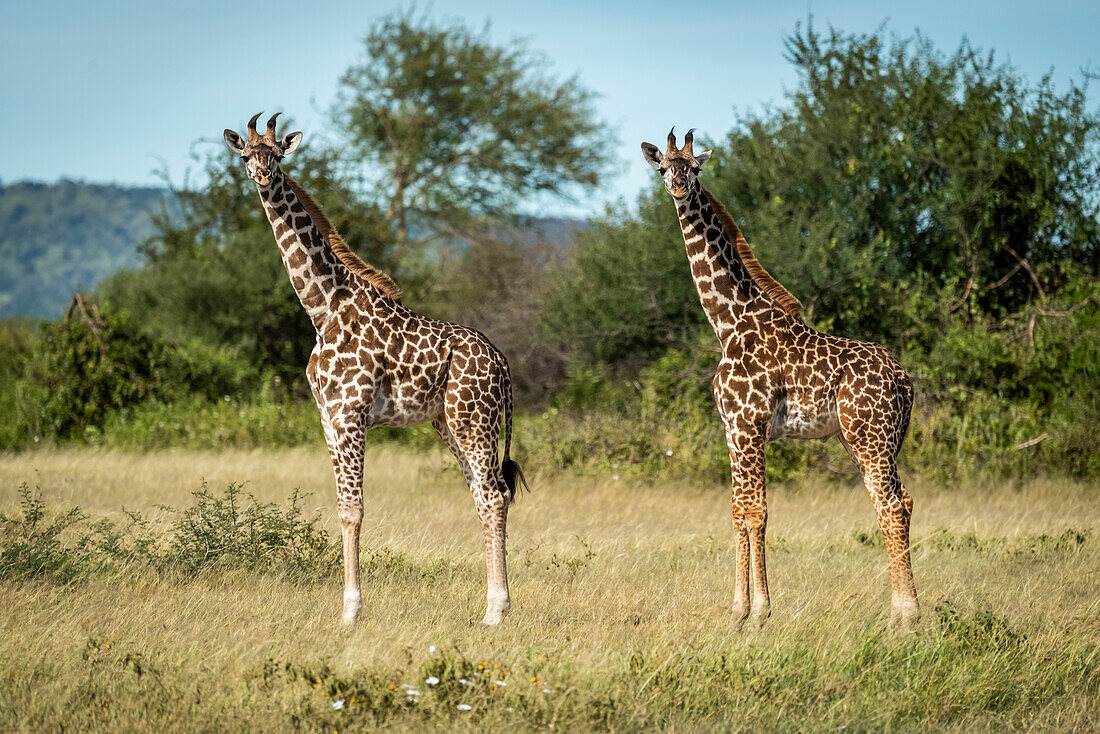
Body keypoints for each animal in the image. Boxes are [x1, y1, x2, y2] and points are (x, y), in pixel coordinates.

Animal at [223, 113, 523, 625]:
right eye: (246, 155)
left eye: (277, 155)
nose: (262, 176)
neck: (323, 307)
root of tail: (500, 361)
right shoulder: (327, 419)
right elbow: (342, 507)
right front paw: (347, 608)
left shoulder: (350, 416)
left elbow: (353, 509)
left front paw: (351, 611)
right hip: (448, 423)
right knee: (484, 497)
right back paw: (492, 606)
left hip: (474, 422)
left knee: (493, 496)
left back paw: (496, 612)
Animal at [642, 130, 915, 625]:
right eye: (663, 168)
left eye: (696, 168)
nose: (678, 188)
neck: (728, 322)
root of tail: (905, 383)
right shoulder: (731, 429)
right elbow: (737, 509)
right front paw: (736, 609)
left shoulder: (750, 425)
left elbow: (757, 512)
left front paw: (760, 611)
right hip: (866, 440)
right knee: (898, 501)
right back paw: (900, 611)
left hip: (870, 437)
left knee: (889, 506)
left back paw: (905, 615)